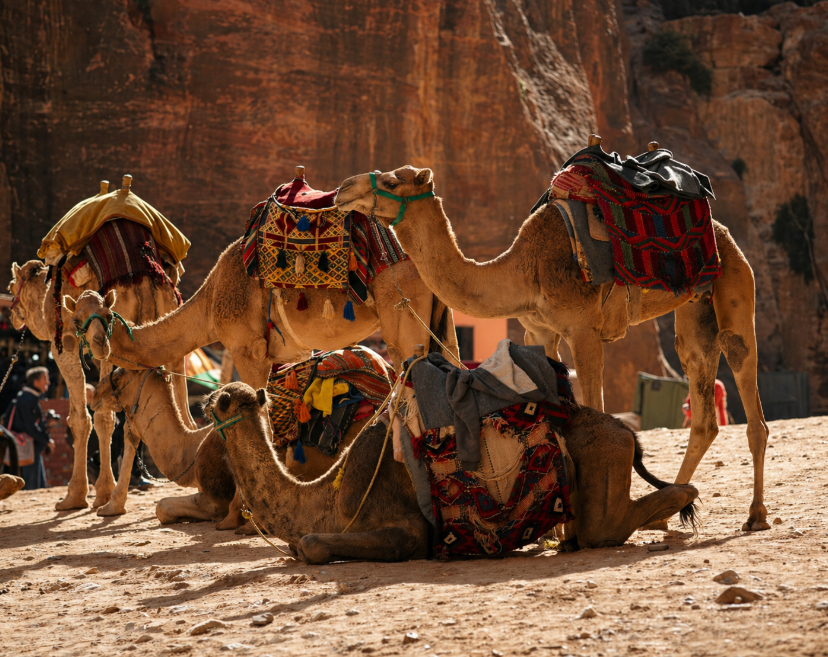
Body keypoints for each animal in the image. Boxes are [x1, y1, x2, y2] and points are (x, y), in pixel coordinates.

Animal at [8, 261, 192, 511]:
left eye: (11, 286)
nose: (12, 315)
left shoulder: (63, 345)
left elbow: (82, 418)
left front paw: (78, 495)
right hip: (169, 331)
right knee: (183, 411)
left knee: (107, 414)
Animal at [209, 381, 698, 563]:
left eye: (220, 401)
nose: (205, 399)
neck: (326, 496)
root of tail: (626, 431)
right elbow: (300, 543)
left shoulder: (405, 527)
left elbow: (310, 544)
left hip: (601, 458)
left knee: (605, 528)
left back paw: (684, 500)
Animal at [334, 164, 770, 532]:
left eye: (392, 181)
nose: (342, 189)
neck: (523, 271)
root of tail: (721, 231)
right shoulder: (538, 331)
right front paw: (556, 525)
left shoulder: (583, 330)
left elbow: (595, 406)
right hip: (695, 308)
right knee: (701, 400)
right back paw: (668, 513)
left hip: (735, 282)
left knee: (746, 381)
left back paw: (756, 515)